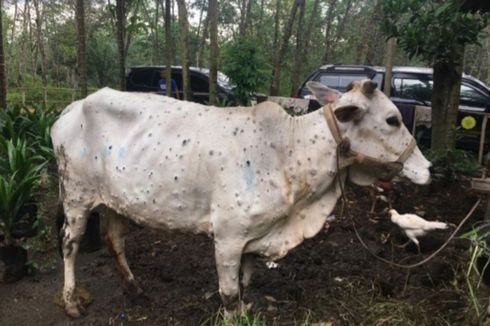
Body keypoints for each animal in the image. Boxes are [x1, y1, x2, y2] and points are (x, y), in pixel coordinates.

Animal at [51, 80, 430, 318]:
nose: (428, 168)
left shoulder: (254, 236)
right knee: (70, 245)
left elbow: (246, 282)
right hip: (76, 196)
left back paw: (135, 289)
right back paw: (71, 302)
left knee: (113, 239)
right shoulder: (228, 237)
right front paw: (234, 313)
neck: (288, 152)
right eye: (392, 119)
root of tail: (71, 108)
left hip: (115, 201)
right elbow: (230, 293)